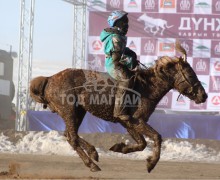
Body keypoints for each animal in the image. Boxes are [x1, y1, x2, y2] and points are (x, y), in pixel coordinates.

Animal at [29, 41, 208, 173]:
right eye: (190, 74)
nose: (204, 95)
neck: (146, 87)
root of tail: (49, 79)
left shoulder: (128, 122)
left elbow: (142, 143)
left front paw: (119, 148)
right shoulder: (136, 120)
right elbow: (156, 137)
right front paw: (151, 164)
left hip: (78, 112)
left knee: (70, 135)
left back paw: (94, 153)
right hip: (70, 112)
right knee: (72, 137)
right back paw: (92, 164)